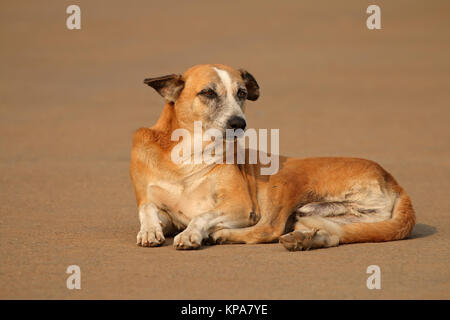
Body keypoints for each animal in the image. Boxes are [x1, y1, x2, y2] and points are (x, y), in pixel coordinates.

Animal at [129, 63, 414, 251]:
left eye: (242, 93)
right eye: (208, 93)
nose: (239, 123)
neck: (188, 156)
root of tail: (393, 181)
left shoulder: (241, 206)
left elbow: (201, 216)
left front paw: (191, 235)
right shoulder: (163, 210)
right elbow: (147, 209)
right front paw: (149, 230)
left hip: (284, 178)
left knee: (269, 229)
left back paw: (223, 235)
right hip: (323, 216)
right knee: (333, 234)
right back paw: (306, 240)